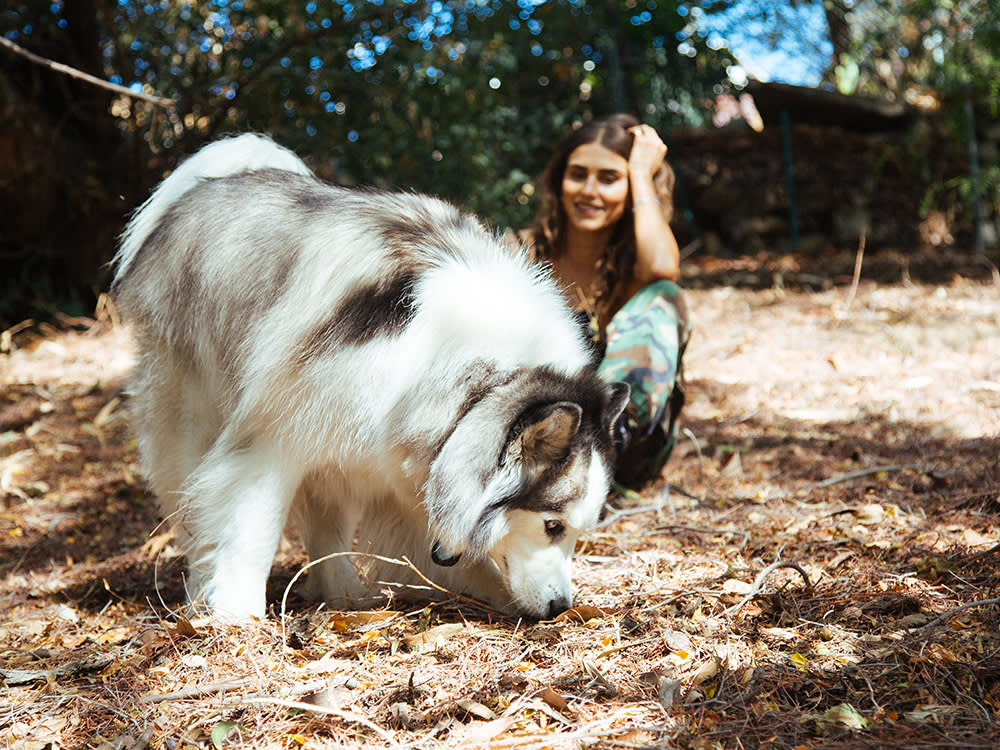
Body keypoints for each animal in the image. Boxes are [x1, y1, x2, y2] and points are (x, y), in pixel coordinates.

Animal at [111, 135, 624, 624]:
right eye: (553, 526)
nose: (561, 606)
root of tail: (216, 180)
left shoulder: (396, 461)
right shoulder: (272, 439)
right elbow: (252, 530)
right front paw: (238, 617)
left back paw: (344, 595)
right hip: (192, 411)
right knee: (193, 510)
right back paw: (202, 593)